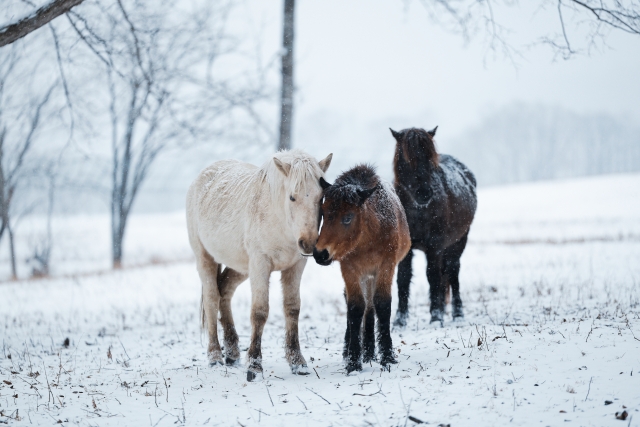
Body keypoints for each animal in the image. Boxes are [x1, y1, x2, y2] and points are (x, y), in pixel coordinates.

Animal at [185, 150, 332, 382]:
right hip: (205, 258)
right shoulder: (260, 264)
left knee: (224, 291)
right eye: (292, 197)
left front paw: (297, 362)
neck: (279, 221)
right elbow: (260, 312)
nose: (309, 244)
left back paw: (232, 353)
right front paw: (254, 366)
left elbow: (292, 309)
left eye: (321, 197)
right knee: (211, 299)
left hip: (241, 266)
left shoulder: (296, 266)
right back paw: (215, 356)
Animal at [314, 166, 410, 372]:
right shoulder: (349, 269)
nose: (320, 254)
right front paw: (353, 361)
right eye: (323, 213)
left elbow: (381, 304)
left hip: (371, 275)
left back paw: (370, 352)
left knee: (371, 306)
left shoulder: (386, 266)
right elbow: (355, 307)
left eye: (348, 217)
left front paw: (387, 356)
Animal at [390, 125, 476, 326]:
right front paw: (400, 319)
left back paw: (457, 313)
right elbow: (403, 278)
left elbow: (433, 277)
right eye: (407, 158)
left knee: (452, 271)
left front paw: (436, 317)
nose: (424, 193)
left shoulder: (435, 246)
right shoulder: (405, 248)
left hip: (459, 241)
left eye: (430, 158)